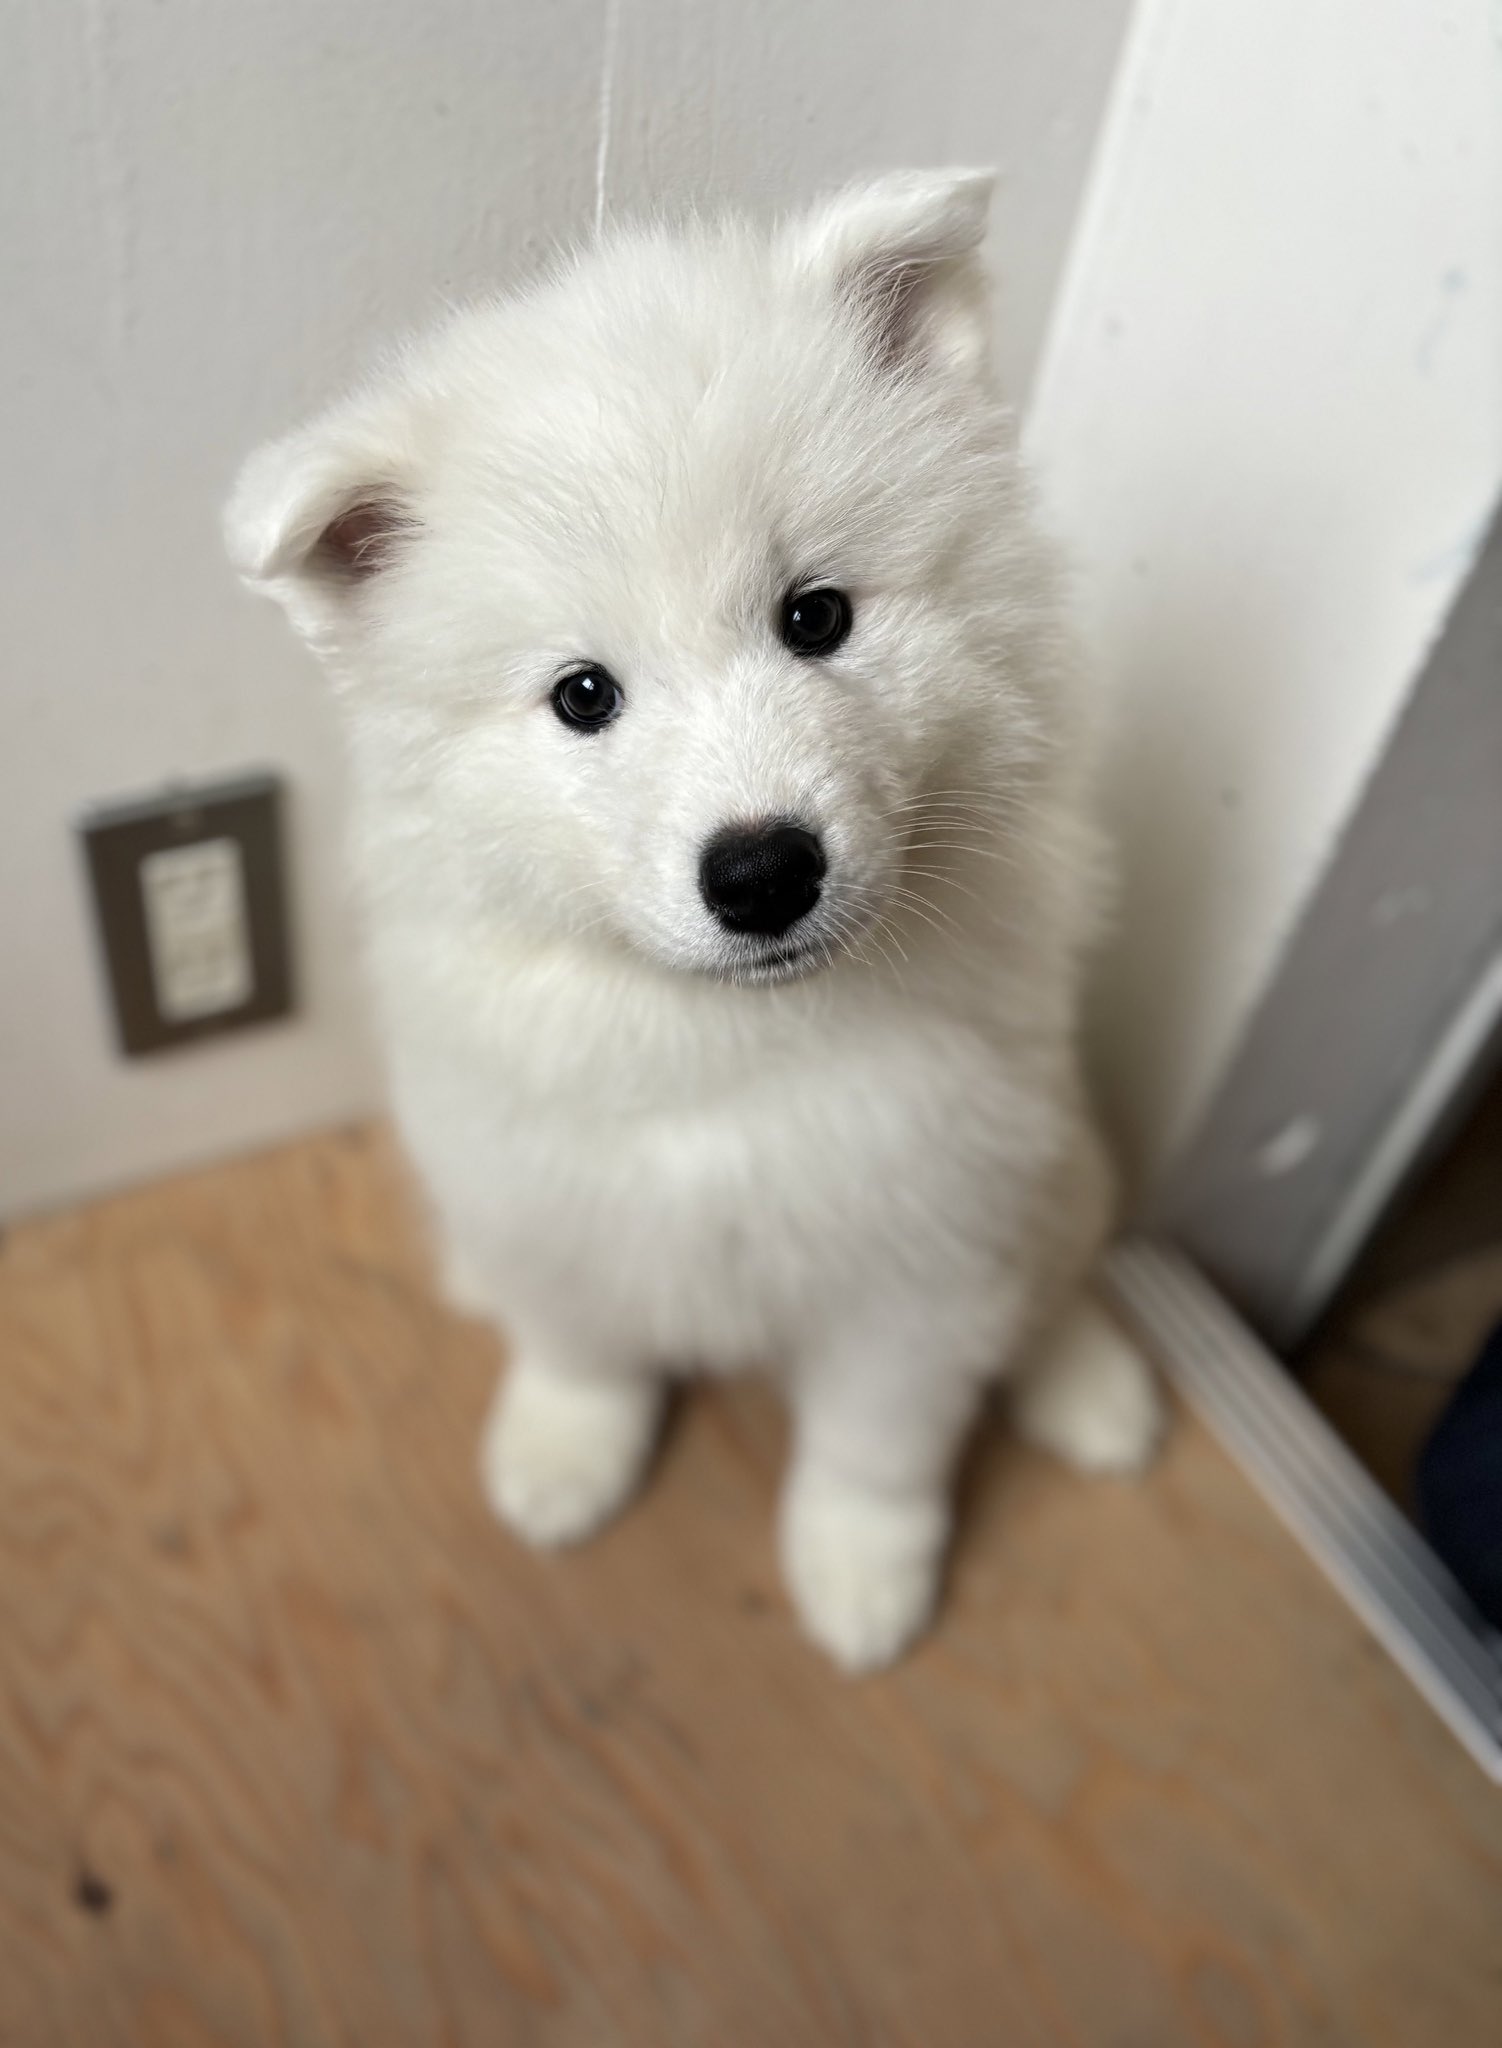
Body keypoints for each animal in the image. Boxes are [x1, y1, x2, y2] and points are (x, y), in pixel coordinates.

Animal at [225, 172, 1163, 1662]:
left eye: (816, 616)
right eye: (582, 695)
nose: (762, 871)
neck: (723, 1033)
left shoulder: (923, 1247)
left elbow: (877, 1441)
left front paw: (859, 1576)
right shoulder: (547, 1191)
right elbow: (581, 1348)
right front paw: (562, 1457)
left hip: (1052, 1162)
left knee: (1058, 1268)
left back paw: (1087, 1386)